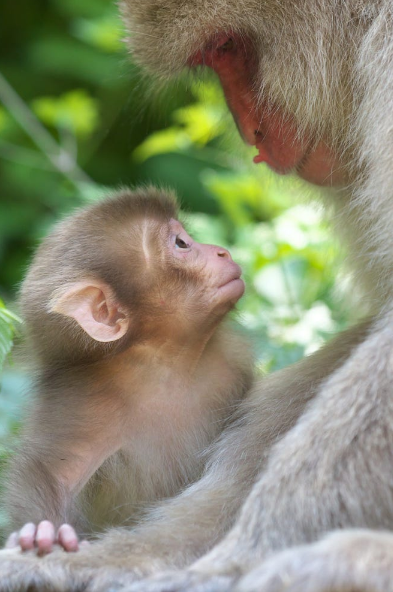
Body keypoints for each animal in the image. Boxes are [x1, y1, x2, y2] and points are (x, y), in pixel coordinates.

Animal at [3, 188, 251, 556]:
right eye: (181, 243)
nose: (222, 251)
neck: (163, 367)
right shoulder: (82, 399)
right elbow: (52, 472)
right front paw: (42, 532)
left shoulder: (231, 365)